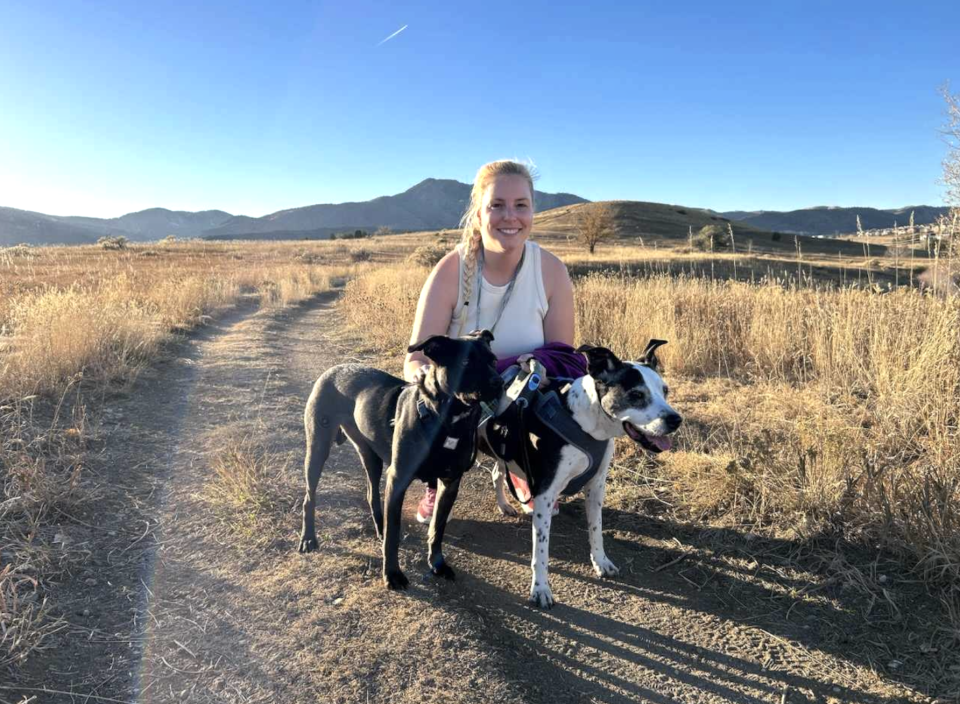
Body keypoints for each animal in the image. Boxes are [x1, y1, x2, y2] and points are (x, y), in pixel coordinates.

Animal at [298, 328, 502, 588]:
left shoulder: (450, 483)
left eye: (493, 361)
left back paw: (378, 528)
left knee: (372, 494)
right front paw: (392, 574)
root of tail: (333, 369)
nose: (499, 382)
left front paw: (437, 564)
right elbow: (394, 535)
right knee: (309, 497)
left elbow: (437, 529)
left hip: (371, 455)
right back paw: (308, 539)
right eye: (466, 362)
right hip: (318, 447)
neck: (447, 422)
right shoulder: (398, 479)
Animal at [496, 338, 684, 608]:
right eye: (636, 395)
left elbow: (596, 529)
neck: (585, 423)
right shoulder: (545, 494)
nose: (676, 420)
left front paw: (601, 562)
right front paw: (540, 588)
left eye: (665, 390)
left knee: (496, 473)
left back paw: (503, 505)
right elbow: (541, 550)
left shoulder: (596, 487)